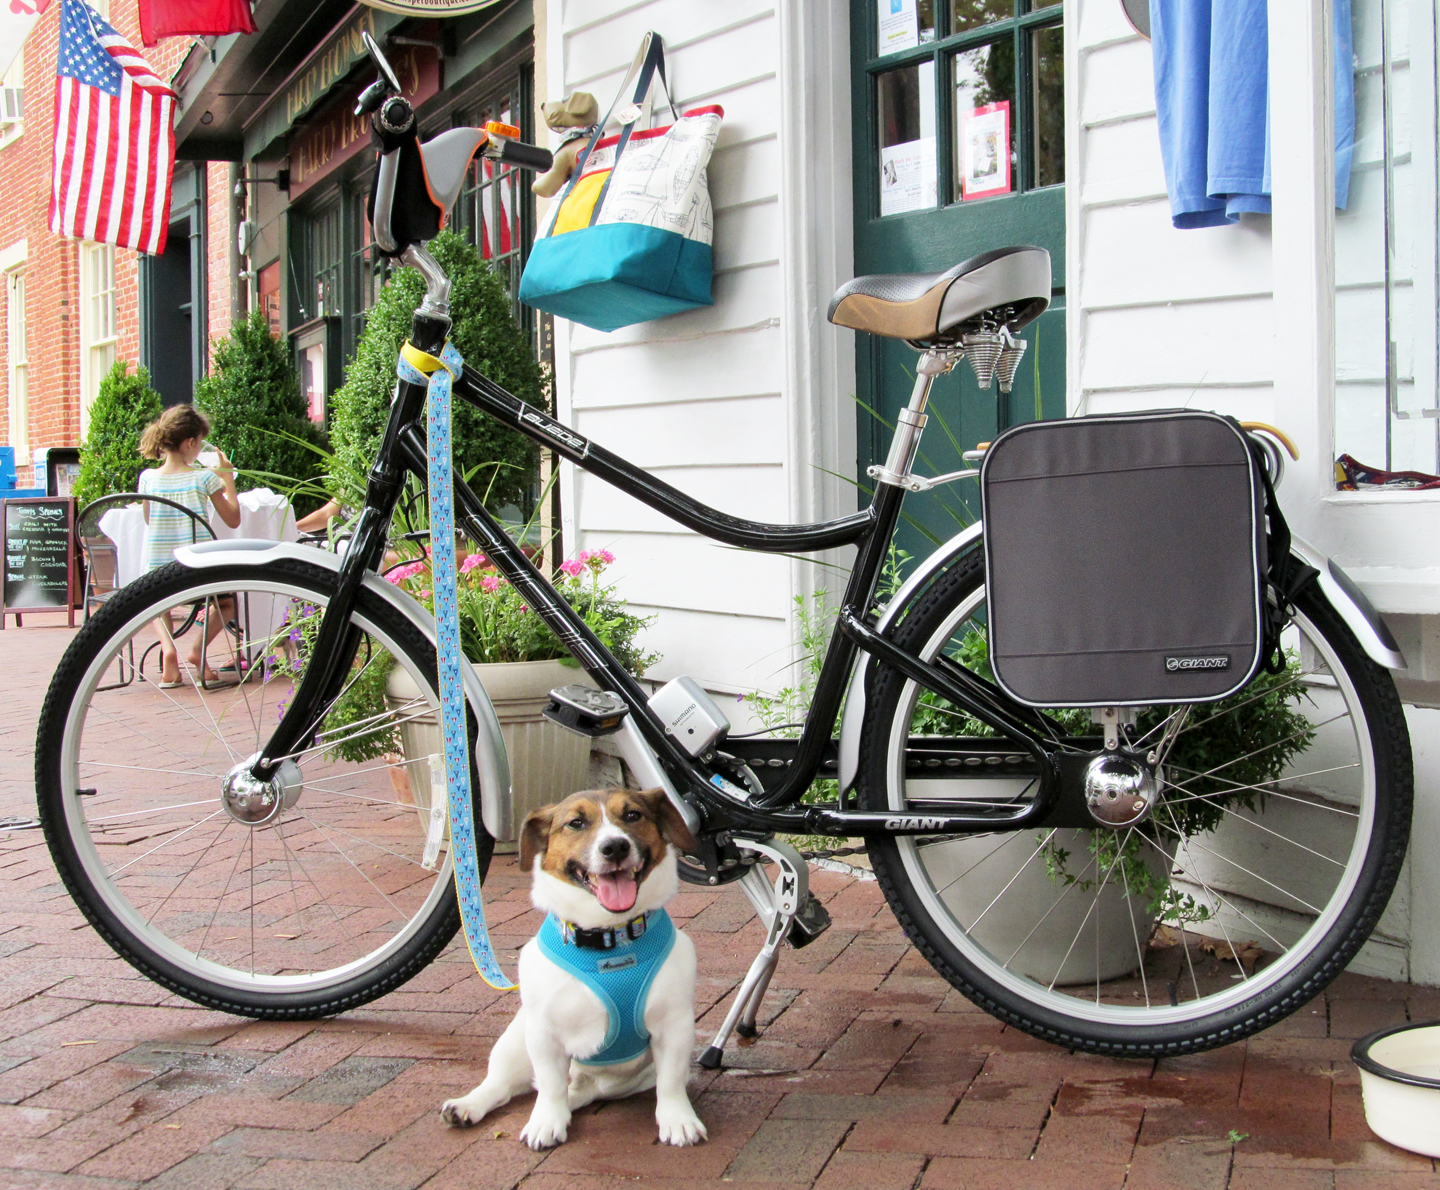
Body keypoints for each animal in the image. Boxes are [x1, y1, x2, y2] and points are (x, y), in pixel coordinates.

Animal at [437, 783, 708, 1146]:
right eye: (576, 823)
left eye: (633, 815)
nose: (615, 847)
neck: (607, 940)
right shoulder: (543, 1033)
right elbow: (550, 1086)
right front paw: (546, 1122)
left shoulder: (674, 1026)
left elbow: (672, 1081)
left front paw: (677, 1120)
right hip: (514, 1041)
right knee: (504, 1084)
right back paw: (467, 1105)